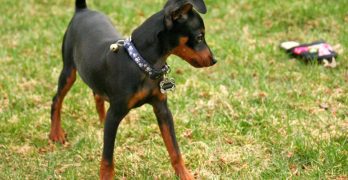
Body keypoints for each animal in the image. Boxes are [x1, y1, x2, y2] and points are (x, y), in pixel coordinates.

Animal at [49, 0, 215, 179]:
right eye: (199, 37)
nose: (214, 60)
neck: (141, 64)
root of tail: (82, 11)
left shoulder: (162, 110)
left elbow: (175, 150)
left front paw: (185, 175)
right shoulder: (115, 114)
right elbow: (107, 158)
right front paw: (106, 176)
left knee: (97, 95)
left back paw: (100, 122)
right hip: (69, 70)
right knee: (56, 99)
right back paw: (56, 133)